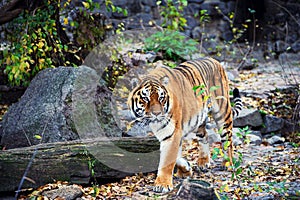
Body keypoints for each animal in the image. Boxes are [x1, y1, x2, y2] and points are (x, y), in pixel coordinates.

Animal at [126, 57, 241, 193]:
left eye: (161, 98)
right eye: (146, 98)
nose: (157, 113)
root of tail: (215, 60)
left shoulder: (172, 134)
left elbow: (168, 159)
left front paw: (162, 184)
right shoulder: (172, 135)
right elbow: (175, 157)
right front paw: (185, 170)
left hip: (223, 112)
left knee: (228, 140)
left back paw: (228, 163)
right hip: (200, 119)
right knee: (205, 136)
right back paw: (203, 162)